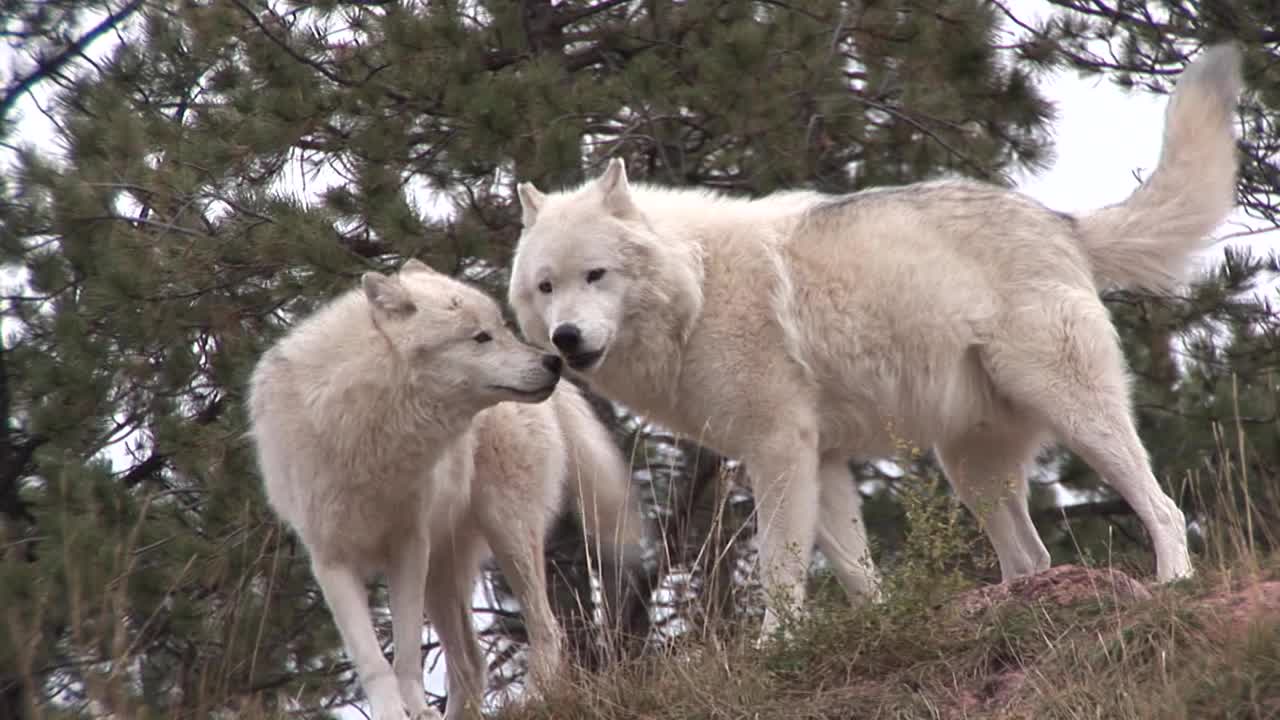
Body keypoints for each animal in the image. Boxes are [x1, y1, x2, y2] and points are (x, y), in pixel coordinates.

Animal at [248, 258, 645, 717]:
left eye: (501, 327)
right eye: (480, 337)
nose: (553, 361)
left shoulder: (407, 548)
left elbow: (404, 654)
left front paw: (416, 710)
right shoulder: (330, 560)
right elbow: (372, 660)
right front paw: (394, 711)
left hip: (506, 533)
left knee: (545, 630)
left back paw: (533, 700)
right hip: (443, 569)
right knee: (471, 663)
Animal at [506, 43, 1239, 632]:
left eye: (595, 275)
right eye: (546, 287)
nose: (566, 338)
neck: (700, 288)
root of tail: (1059, 221)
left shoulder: (781, 451)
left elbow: (779, 571)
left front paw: (775, 648)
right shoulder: (822, 460)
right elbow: (858, 575)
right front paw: (877, 628)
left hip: (1074, 414)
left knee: (1163, 509)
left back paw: (1173, 582)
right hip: (971, 466)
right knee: (1031, 554)